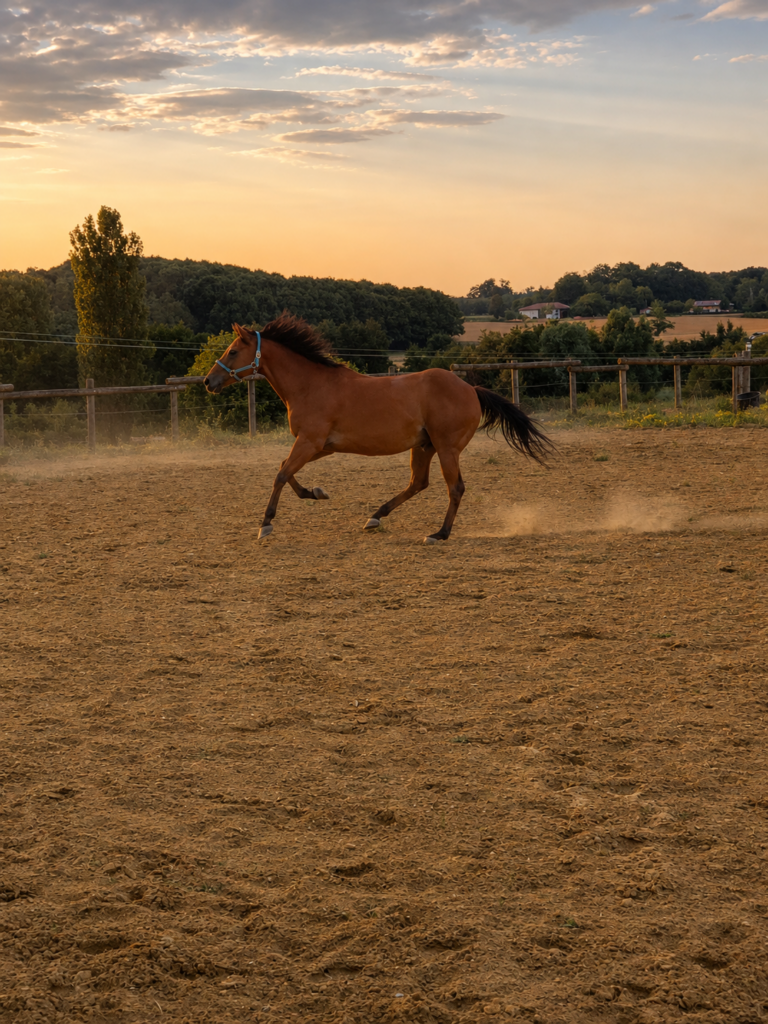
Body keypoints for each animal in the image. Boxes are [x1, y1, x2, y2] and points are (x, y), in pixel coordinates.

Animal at [203, 314, 554, 544]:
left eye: (232, 351)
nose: (209, 381)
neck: (310, 385)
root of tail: (471, 389)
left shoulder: (310, 442)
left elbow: (280, 474)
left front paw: (265, 524)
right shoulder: (320, 446)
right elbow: (285, 470)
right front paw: (316, 492)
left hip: (447, 447)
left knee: (454, 488)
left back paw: (439, 534)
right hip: (423, 446)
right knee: (418, 483)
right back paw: (374, 517)